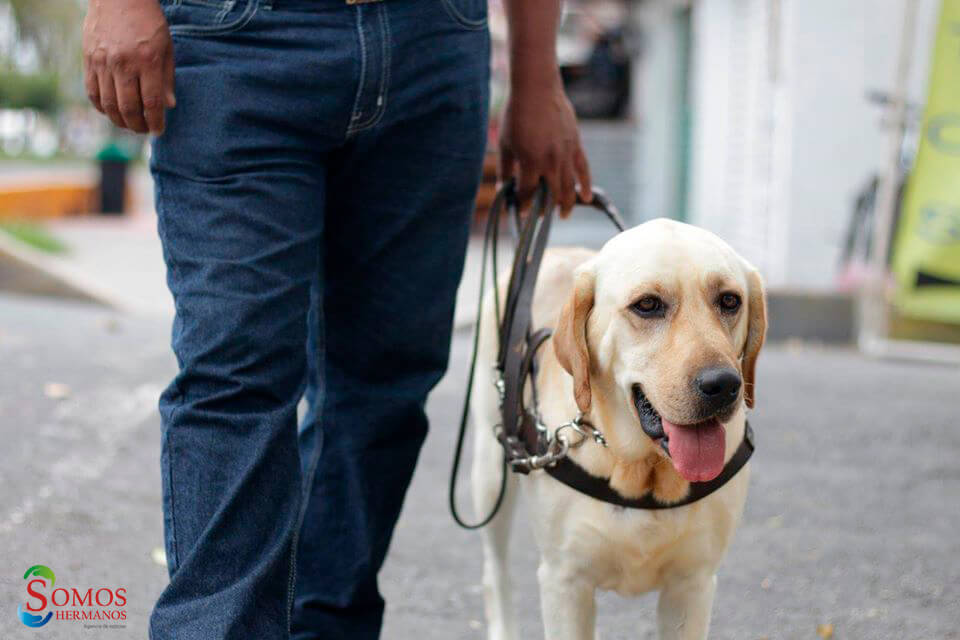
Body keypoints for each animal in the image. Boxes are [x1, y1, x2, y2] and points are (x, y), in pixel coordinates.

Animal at [470, 219, 764, 640]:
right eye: (647, 305)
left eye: (729, 301)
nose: (723, 385)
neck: (644, 469)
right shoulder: (564, 583)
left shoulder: (692, 585)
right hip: (491, 475)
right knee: (495, 571)